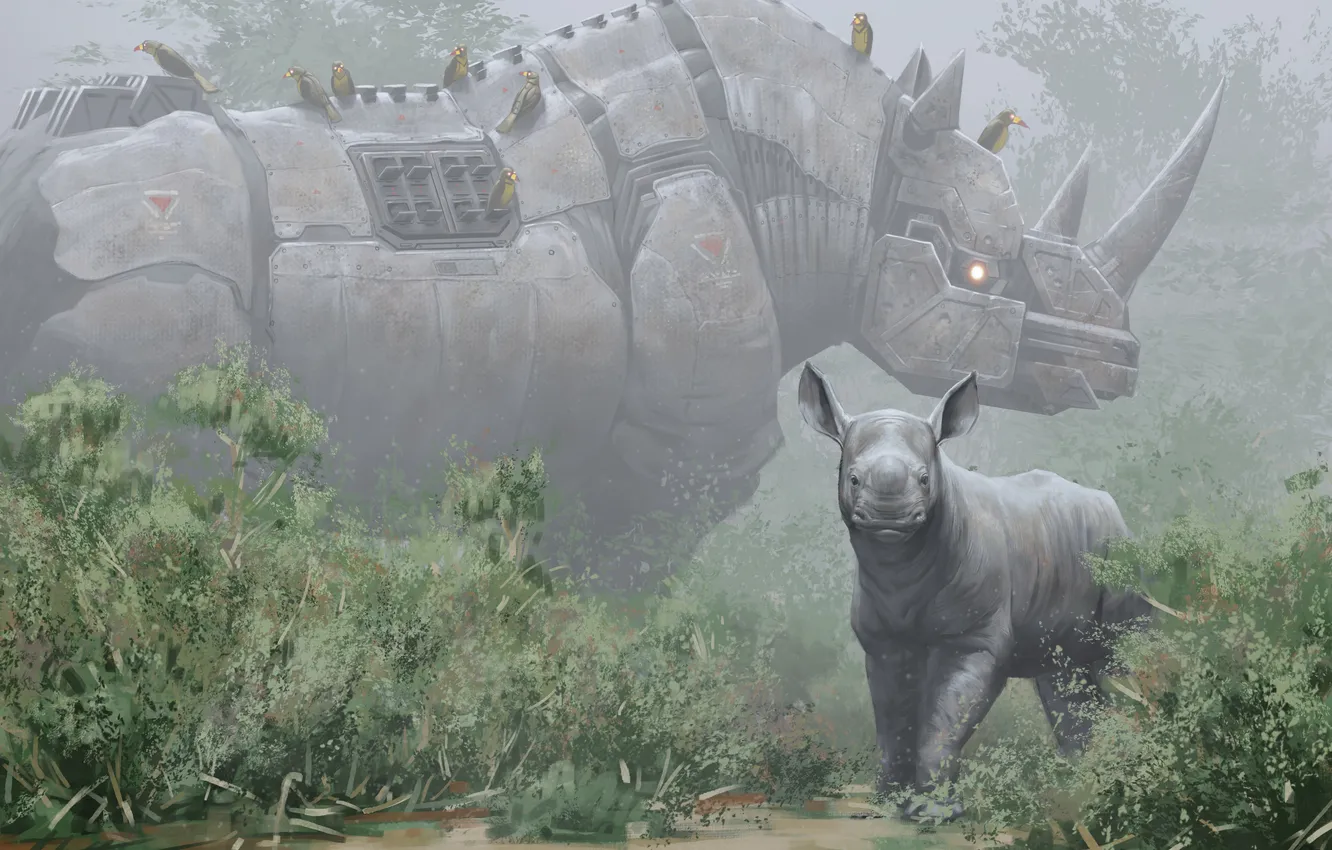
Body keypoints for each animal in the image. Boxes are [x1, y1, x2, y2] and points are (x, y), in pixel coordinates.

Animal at [797, 361, 1152, 821]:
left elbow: (948, 714)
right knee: (1064, 677)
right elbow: (893, 715)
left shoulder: (974, 637)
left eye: (925, 479)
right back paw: (1080, 786)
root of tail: (1113, 509)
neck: (899, 564)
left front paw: (934, 813)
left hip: (1119, 551)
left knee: (1124, 660)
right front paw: (887, 804)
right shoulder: (884, 641)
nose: (888, 513)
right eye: (853, 478)